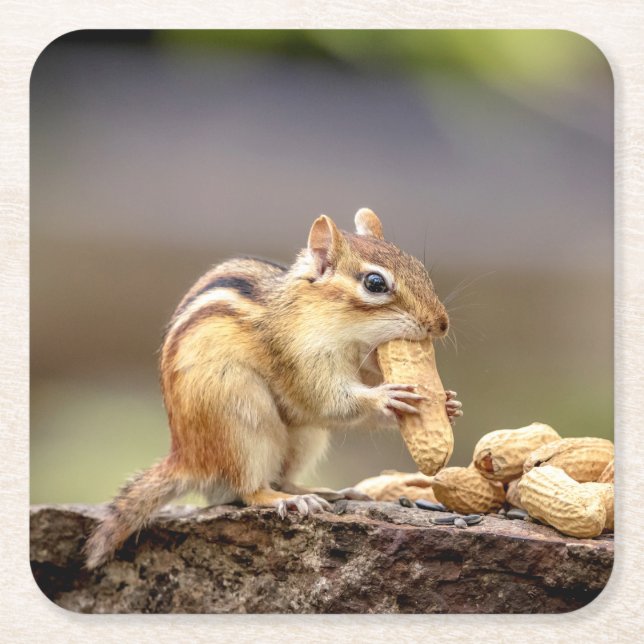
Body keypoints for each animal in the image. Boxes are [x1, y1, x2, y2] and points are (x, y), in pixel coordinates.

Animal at [84, 208, 462, 569]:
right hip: (241, 419)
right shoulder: (300, 358)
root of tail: (187, 458)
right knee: (251, 490)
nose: (441, 324)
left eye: (420, 269)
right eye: (375, 283)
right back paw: (289, 500)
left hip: (305, 436)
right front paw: (387, 397)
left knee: (284, 476)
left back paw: (325, 492)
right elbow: (330, 401)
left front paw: (448, 403)